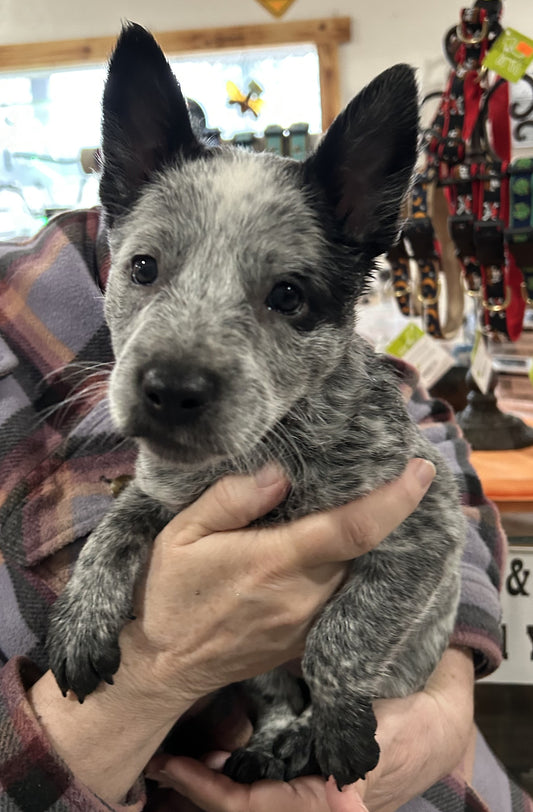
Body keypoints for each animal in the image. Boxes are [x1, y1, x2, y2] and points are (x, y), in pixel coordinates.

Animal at [48, 23, 466, 788]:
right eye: (142, 267)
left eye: (288, 296)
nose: (169, 390)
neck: (266, 448)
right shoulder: (159, 491)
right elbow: (112, 529)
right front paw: (82, 621)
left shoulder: (425, 530)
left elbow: (342, 632)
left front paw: (337, 722)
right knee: (269, 691)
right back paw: (273, 738)